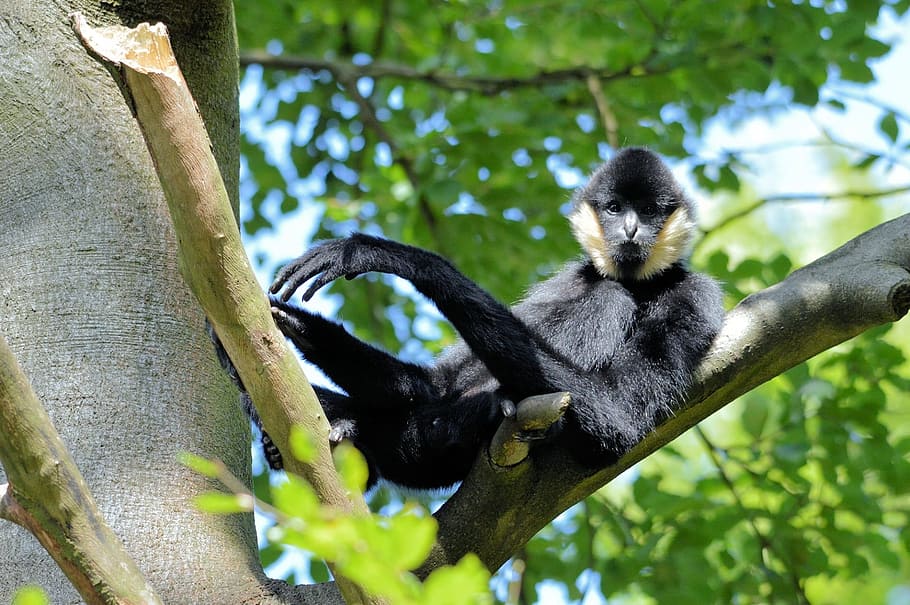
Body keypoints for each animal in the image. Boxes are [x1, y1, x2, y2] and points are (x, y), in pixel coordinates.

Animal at [226, 147, 724, 490]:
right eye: (616, 209)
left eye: (648, 211)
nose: (631, 229)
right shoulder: (570, 275)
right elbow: (434, 383)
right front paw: (295, 325)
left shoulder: (696, 297)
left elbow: (621, 420)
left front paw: (389, 256)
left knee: (611, 297)